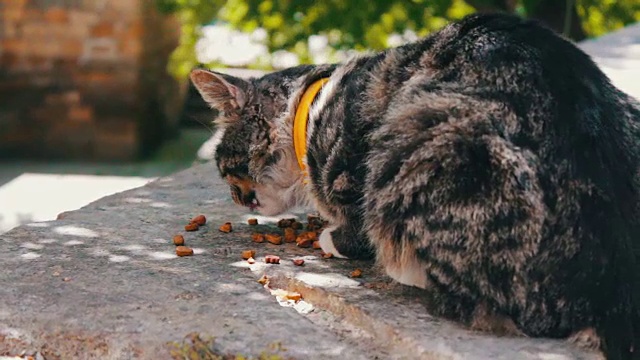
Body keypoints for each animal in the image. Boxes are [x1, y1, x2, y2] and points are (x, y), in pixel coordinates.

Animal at [190, 12, 640, 358]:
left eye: (224, 165)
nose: (236, 198)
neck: (308, 112)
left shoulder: (353, 165)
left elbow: (356, 222)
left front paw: (333, 237)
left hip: (431, 138)